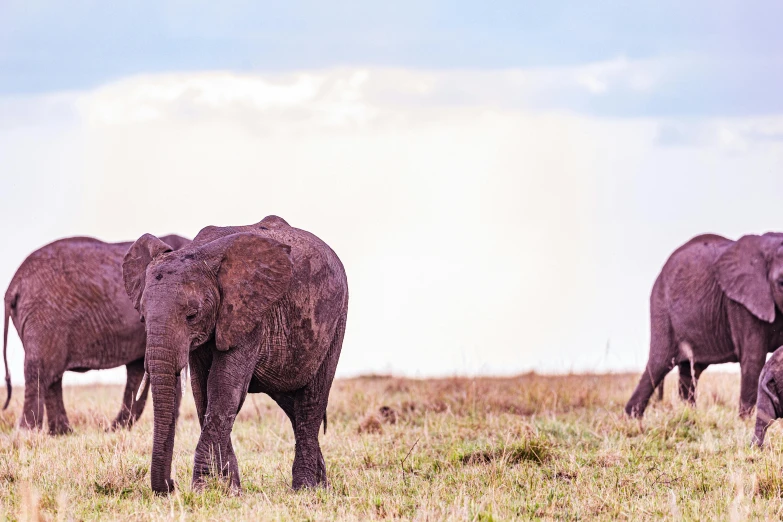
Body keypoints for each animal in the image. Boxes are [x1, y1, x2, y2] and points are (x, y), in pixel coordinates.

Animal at [3, 234, 191, 432]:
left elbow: (137, 369)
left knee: (52, 376)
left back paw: (62, 433)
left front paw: (113, 431)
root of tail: (13, 284)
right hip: (43, 316)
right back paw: (29, 432)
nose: (106, 429)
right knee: (40, 370)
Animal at [122, 214, 350, 492]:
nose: (171, 485)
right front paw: (230, 490)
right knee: (291, 404)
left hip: (337, 320)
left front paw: (203, 488)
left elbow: (223, 389)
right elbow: (203, 393)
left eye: (192, 315)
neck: (198, 252)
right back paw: (322, 486)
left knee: (311, 401)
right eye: (142, 317)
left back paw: (305, 489)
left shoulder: (249, 313)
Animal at [628, 234, 783, 416]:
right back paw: (632, 417)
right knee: (659, 364)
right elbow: (753, 359)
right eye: (781, 283)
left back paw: (690, 414)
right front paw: (745, 420)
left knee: (690, 372)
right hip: (661, 309)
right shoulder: (740, 304)